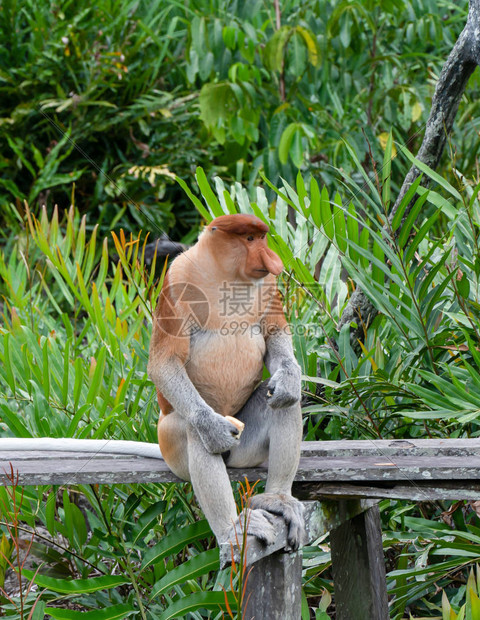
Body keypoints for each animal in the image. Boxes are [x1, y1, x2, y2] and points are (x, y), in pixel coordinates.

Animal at [148, 213, 304, 548]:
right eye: (249, 239)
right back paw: (231, 529)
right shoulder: (177, 279)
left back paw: (278, 499)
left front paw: (289, 378)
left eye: (262, 238)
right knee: (194, 431)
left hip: (246, 452)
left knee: (281, 401)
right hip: (171, 447)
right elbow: (165, 361)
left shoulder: (268, 284)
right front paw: (211, 427)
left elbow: (273, 332)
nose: (272, 258)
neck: (225, 274)